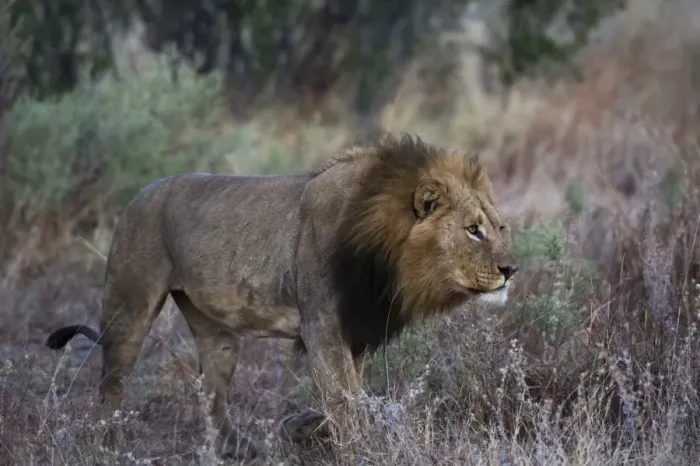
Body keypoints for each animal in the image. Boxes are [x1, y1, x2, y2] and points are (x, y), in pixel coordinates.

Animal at [45, 133, 518, 459]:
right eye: (473, 230)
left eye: (499, 227)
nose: (511, 270)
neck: (384, 255)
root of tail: (137, 195)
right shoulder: (322, 326)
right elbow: (344, 399)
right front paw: (357, 446)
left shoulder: (352, 330)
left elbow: (350, 395)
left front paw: (303, 428)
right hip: (130, 306)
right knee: (111, 381)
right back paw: (106, 446)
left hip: (216, 332)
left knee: (211, 389)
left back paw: (236, 449)